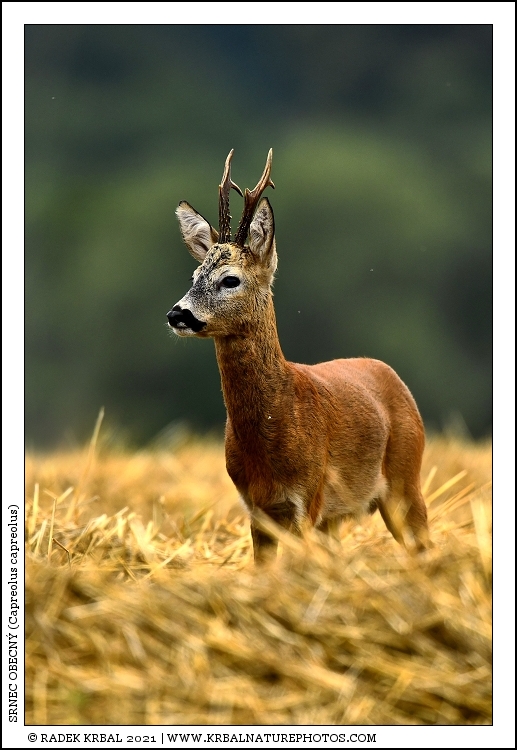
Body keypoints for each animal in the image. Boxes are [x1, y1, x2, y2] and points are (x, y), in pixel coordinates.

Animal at [167, 149, 429, 562]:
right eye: (194, 276)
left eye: (230, 279)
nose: (177, 314)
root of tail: (392, 375)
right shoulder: (257, 508)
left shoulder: (308, 496)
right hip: (338, 516)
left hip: (406, 476)